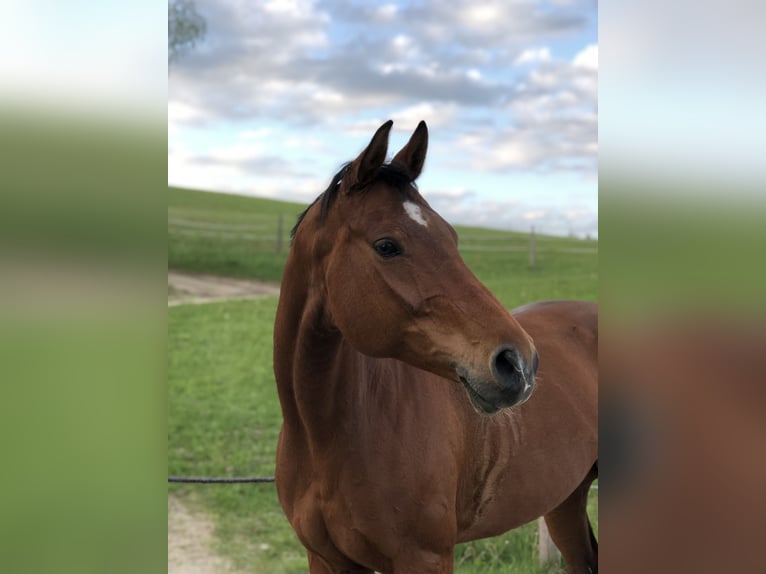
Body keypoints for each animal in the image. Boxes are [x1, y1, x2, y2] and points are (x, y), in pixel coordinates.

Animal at [274, 119, 600, 572]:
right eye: (387, 245)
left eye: (452, 236)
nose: (519, 364)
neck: (326, 436)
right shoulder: (325, 559)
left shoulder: (425, 557)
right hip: (567, 501)